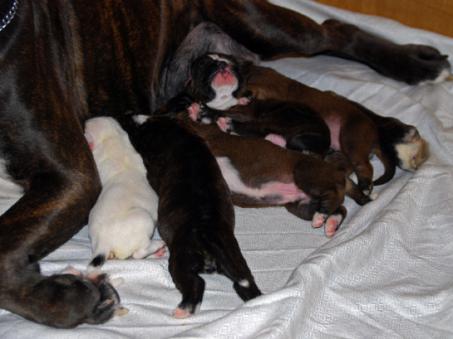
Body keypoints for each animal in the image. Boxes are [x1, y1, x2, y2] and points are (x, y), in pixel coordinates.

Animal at [83, 118, 164, 270]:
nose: (85, 122)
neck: (112, 139)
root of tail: (104, 243)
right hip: (144, 219)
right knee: (138, 253)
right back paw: (157, 246)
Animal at [119, 115, 262, 320]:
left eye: (139, 133)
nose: (131, 116)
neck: (180, 138)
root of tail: (206, 232)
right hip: (234, 256)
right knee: (246, 282)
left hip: (180, 261)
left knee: (196, 284)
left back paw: (183, 310)